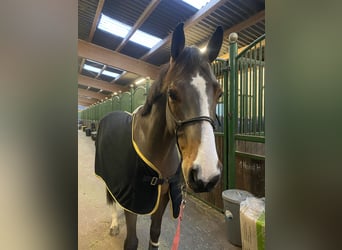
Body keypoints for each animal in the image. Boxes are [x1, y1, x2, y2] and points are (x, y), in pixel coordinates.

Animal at [95, 22, 224, 249]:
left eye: (219, 93)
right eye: (172, 94)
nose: (206, 175)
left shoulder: (163, 197)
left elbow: (155, 234)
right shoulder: (132, 201)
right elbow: (131, 241)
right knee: (111, 199)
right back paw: (114, 224)